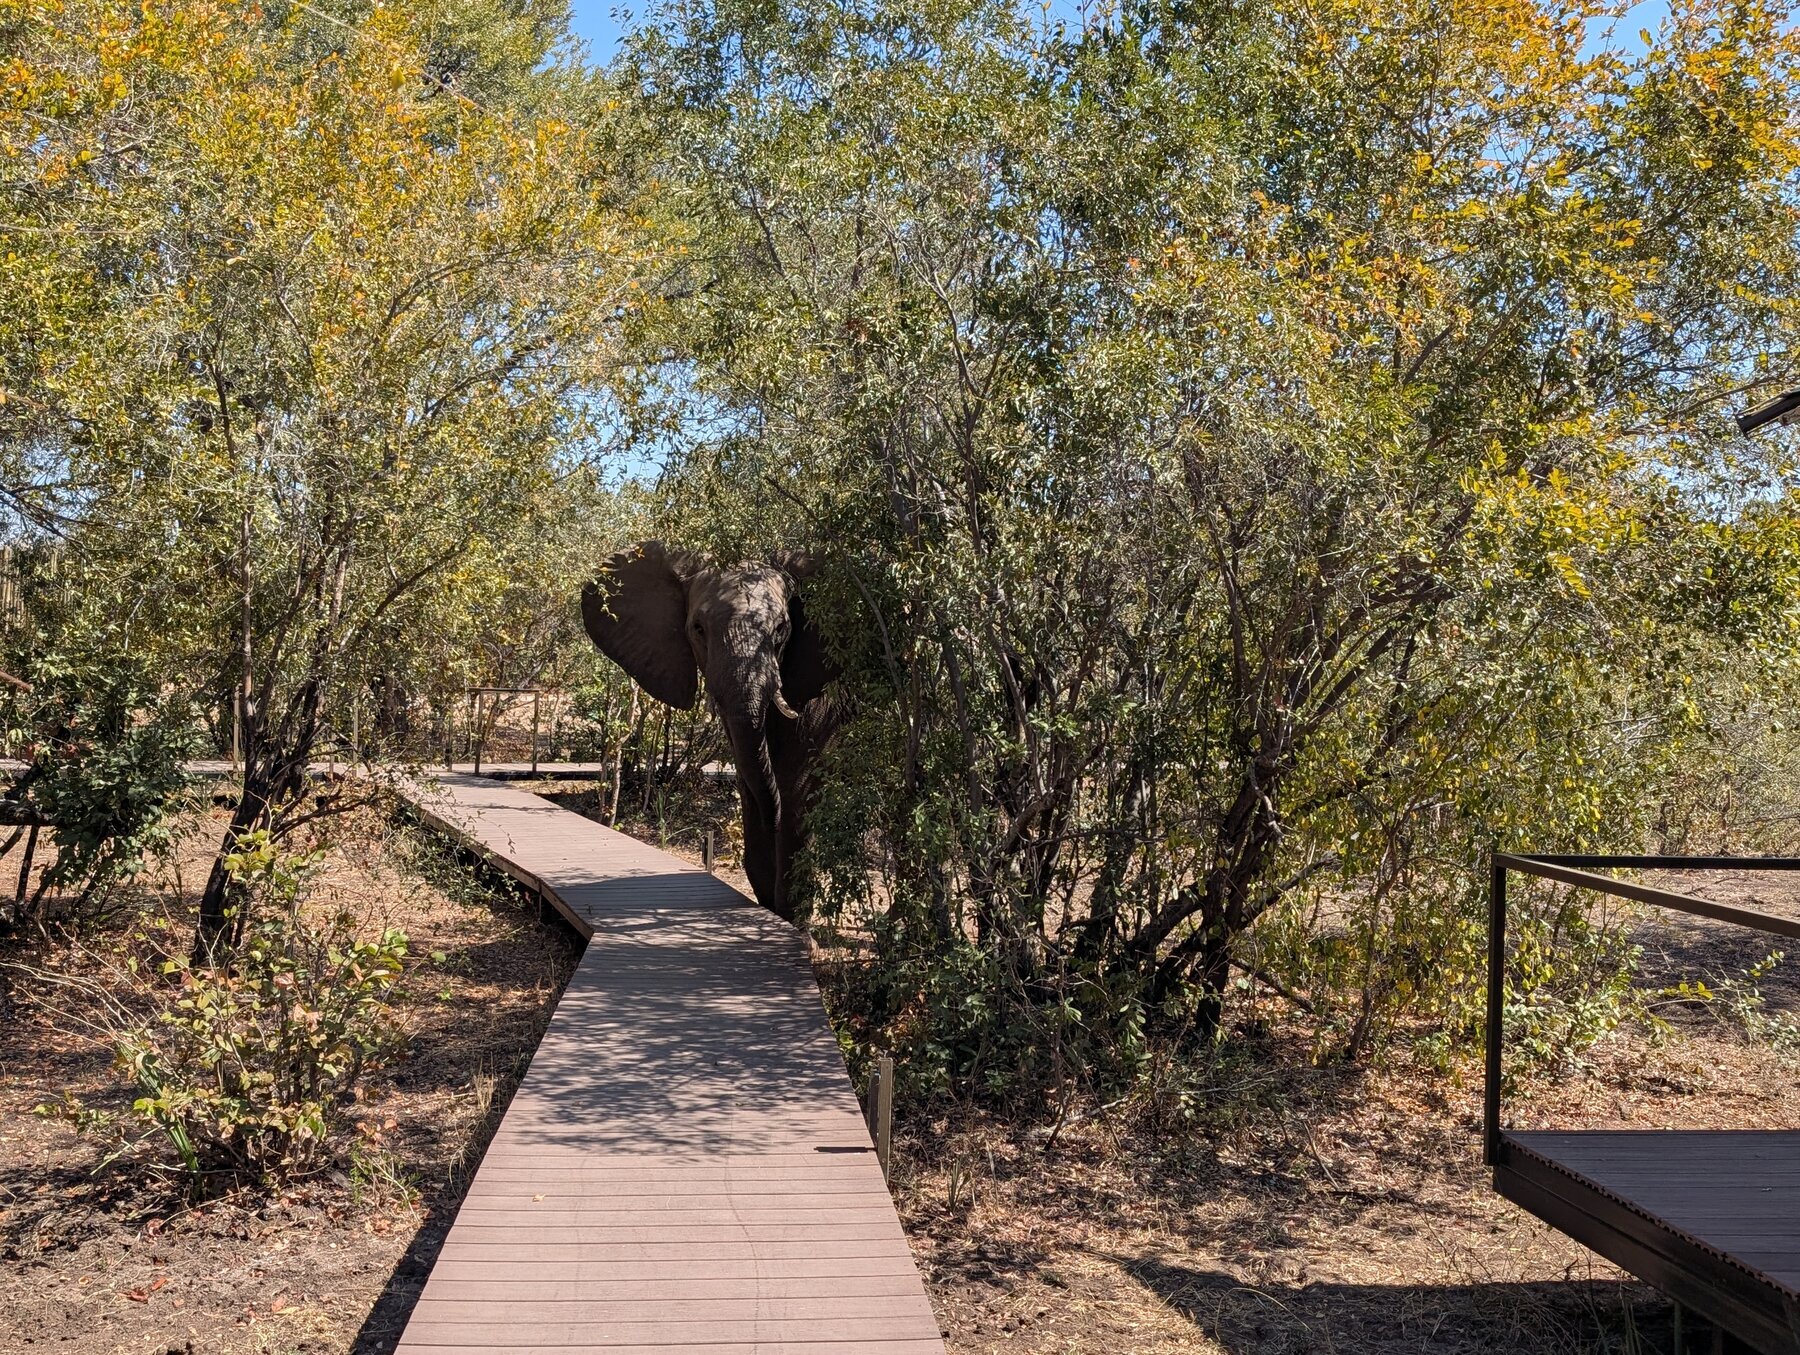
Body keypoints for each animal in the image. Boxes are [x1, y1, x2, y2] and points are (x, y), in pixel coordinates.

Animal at [580, 541, 840, 922]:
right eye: (698, 629)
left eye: (781, 629)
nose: (772, 823)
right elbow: (752, 783)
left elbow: (794, 787)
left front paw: (792, 921)